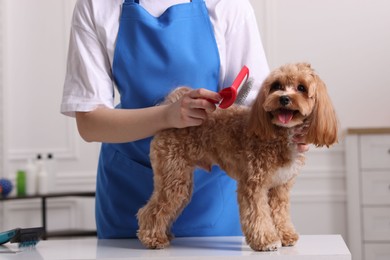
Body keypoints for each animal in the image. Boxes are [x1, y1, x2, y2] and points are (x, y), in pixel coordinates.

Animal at [137, 62, 338, 251]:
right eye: (276, 86)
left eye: (301, 88)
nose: (284, 98)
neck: (280, 133)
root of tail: (171, 111)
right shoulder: (253, 184)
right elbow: (258, 214)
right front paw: (266, 241)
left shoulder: (280, 187)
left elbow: (280, 214)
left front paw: (286, 236)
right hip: (173, 177)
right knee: (150, 211)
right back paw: (153, 238)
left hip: (180, 182)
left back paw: (164, 235)